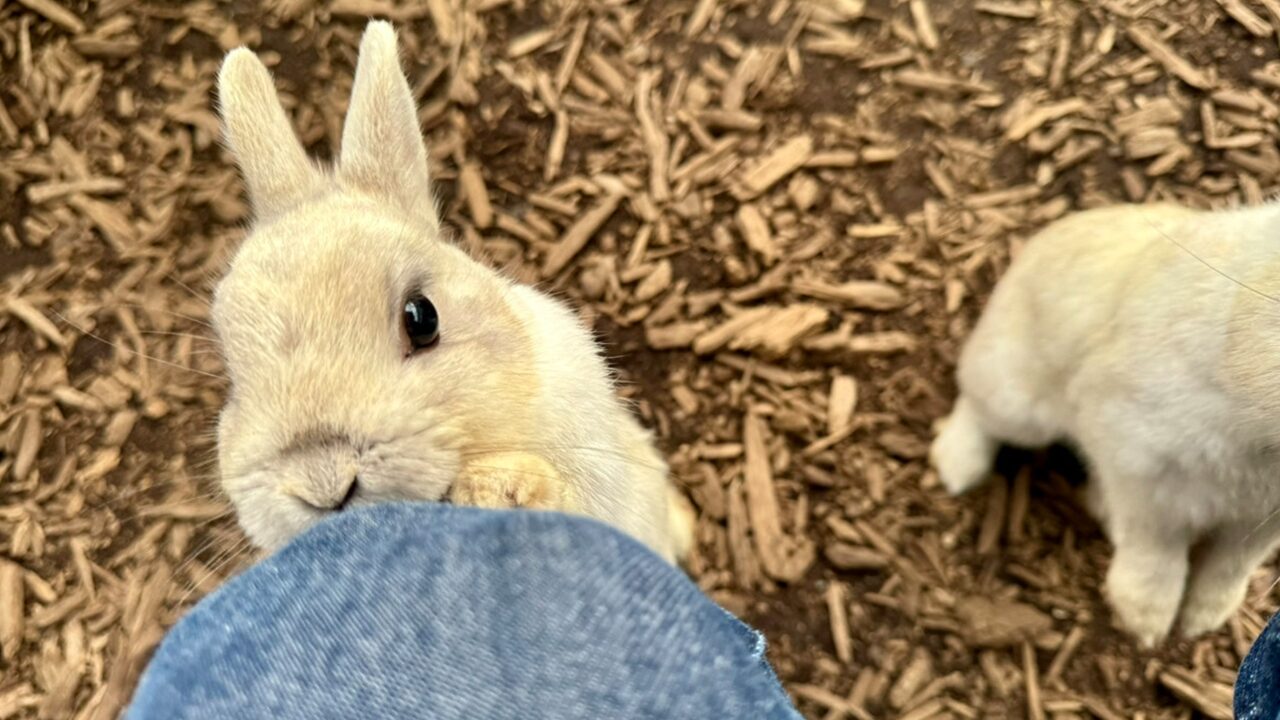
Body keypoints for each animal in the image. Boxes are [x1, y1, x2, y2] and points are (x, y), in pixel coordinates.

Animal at [936, 199, 1280, 645]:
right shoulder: (1145, 471)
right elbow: (1157, 552)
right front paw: (1147, 624)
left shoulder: (1258, 522)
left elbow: (1231, 564)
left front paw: (1201, 621)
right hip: (1016, 401)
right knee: (974, 403)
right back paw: (957, 468)